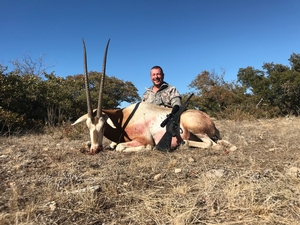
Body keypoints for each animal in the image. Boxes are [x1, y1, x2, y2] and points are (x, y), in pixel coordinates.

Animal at [71, 39, 236, 154]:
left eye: (103, 125)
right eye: (87, 125)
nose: (96, 149)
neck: (124, 118)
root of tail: (211, 122)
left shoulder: (144, 139)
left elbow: (120, 147)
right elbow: (113, 144)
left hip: (193, 126)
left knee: (211, 144)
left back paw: (184, 144)